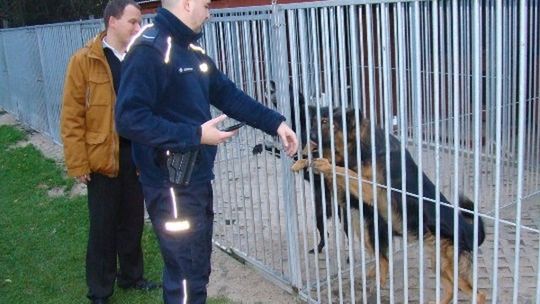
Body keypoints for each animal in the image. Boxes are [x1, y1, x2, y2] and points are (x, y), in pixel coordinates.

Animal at [294, 108, 488, 302]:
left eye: (326, 122)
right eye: (314, 121)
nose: (305, 136)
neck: (363, 147)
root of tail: (467, 230)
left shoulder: (370, 189)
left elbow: (344, 170)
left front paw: (322, 163)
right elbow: (337, 169)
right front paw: (302, 161)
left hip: (448, 265)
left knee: (478, 295)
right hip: (436, 261)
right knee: (449, 289)